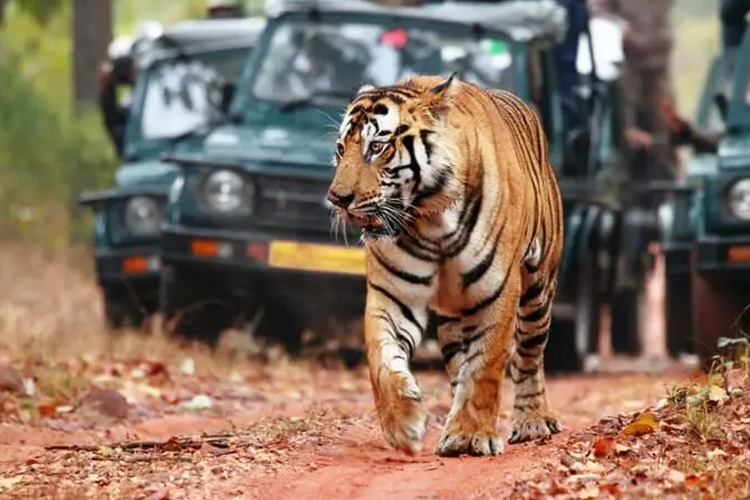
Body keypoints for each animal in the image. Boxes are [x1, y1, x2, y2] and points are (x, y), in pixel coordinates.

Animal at [328, 71, 564, 458]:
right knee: (459, 365)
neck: (430, 219)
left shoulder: (497, 291)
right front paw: (404, 424)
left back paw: (533, 422)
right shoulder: (392, 295)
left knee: (529, 356)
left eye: (376, 147)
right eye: (339, 148)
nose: (337, 199)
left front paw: (473, 434)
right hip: (455, 314)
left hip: (538, 289)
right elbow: (382, 360)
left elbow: (486, 366)